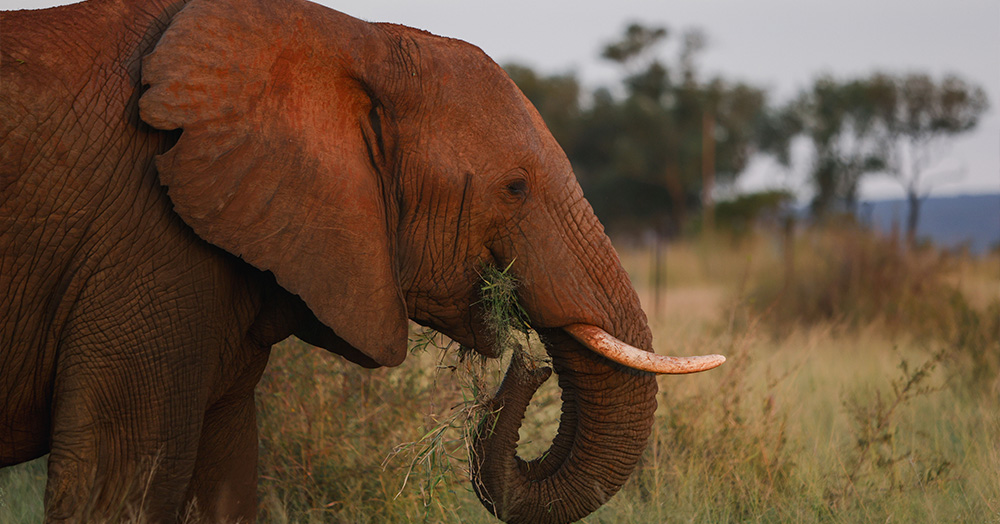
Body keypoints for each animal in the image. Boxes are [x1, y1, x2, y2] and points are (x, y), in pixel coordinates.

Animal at [0, 0, 728, 520]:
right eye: (516, 188)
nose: (527, 364)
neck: (352, 39)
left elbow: (225, 480)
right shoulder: (144, 242)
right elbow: (114, 485)